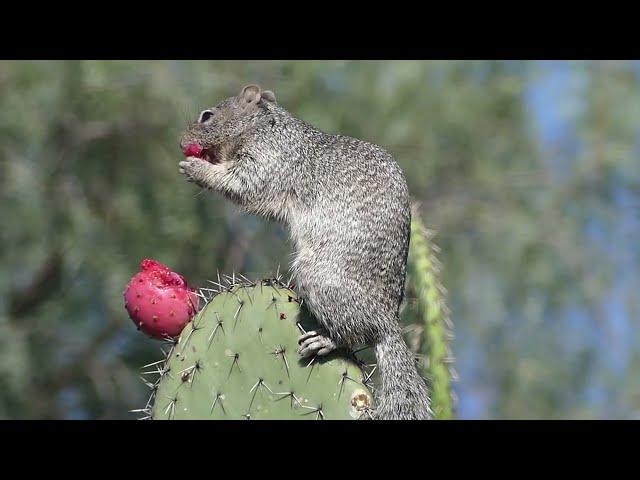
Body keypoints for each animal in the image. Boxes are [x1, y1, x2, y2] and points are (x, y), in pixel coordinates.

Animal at [178, 84, 432, 418]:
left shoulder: (268, 160)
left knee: (357, 333)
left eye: (207, 116)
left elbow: (241, 183)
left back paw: (326, 341)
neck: (267, 125)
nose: (182, 141)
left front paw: (196, 169)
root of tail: (388, 323)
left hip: (319, 278)